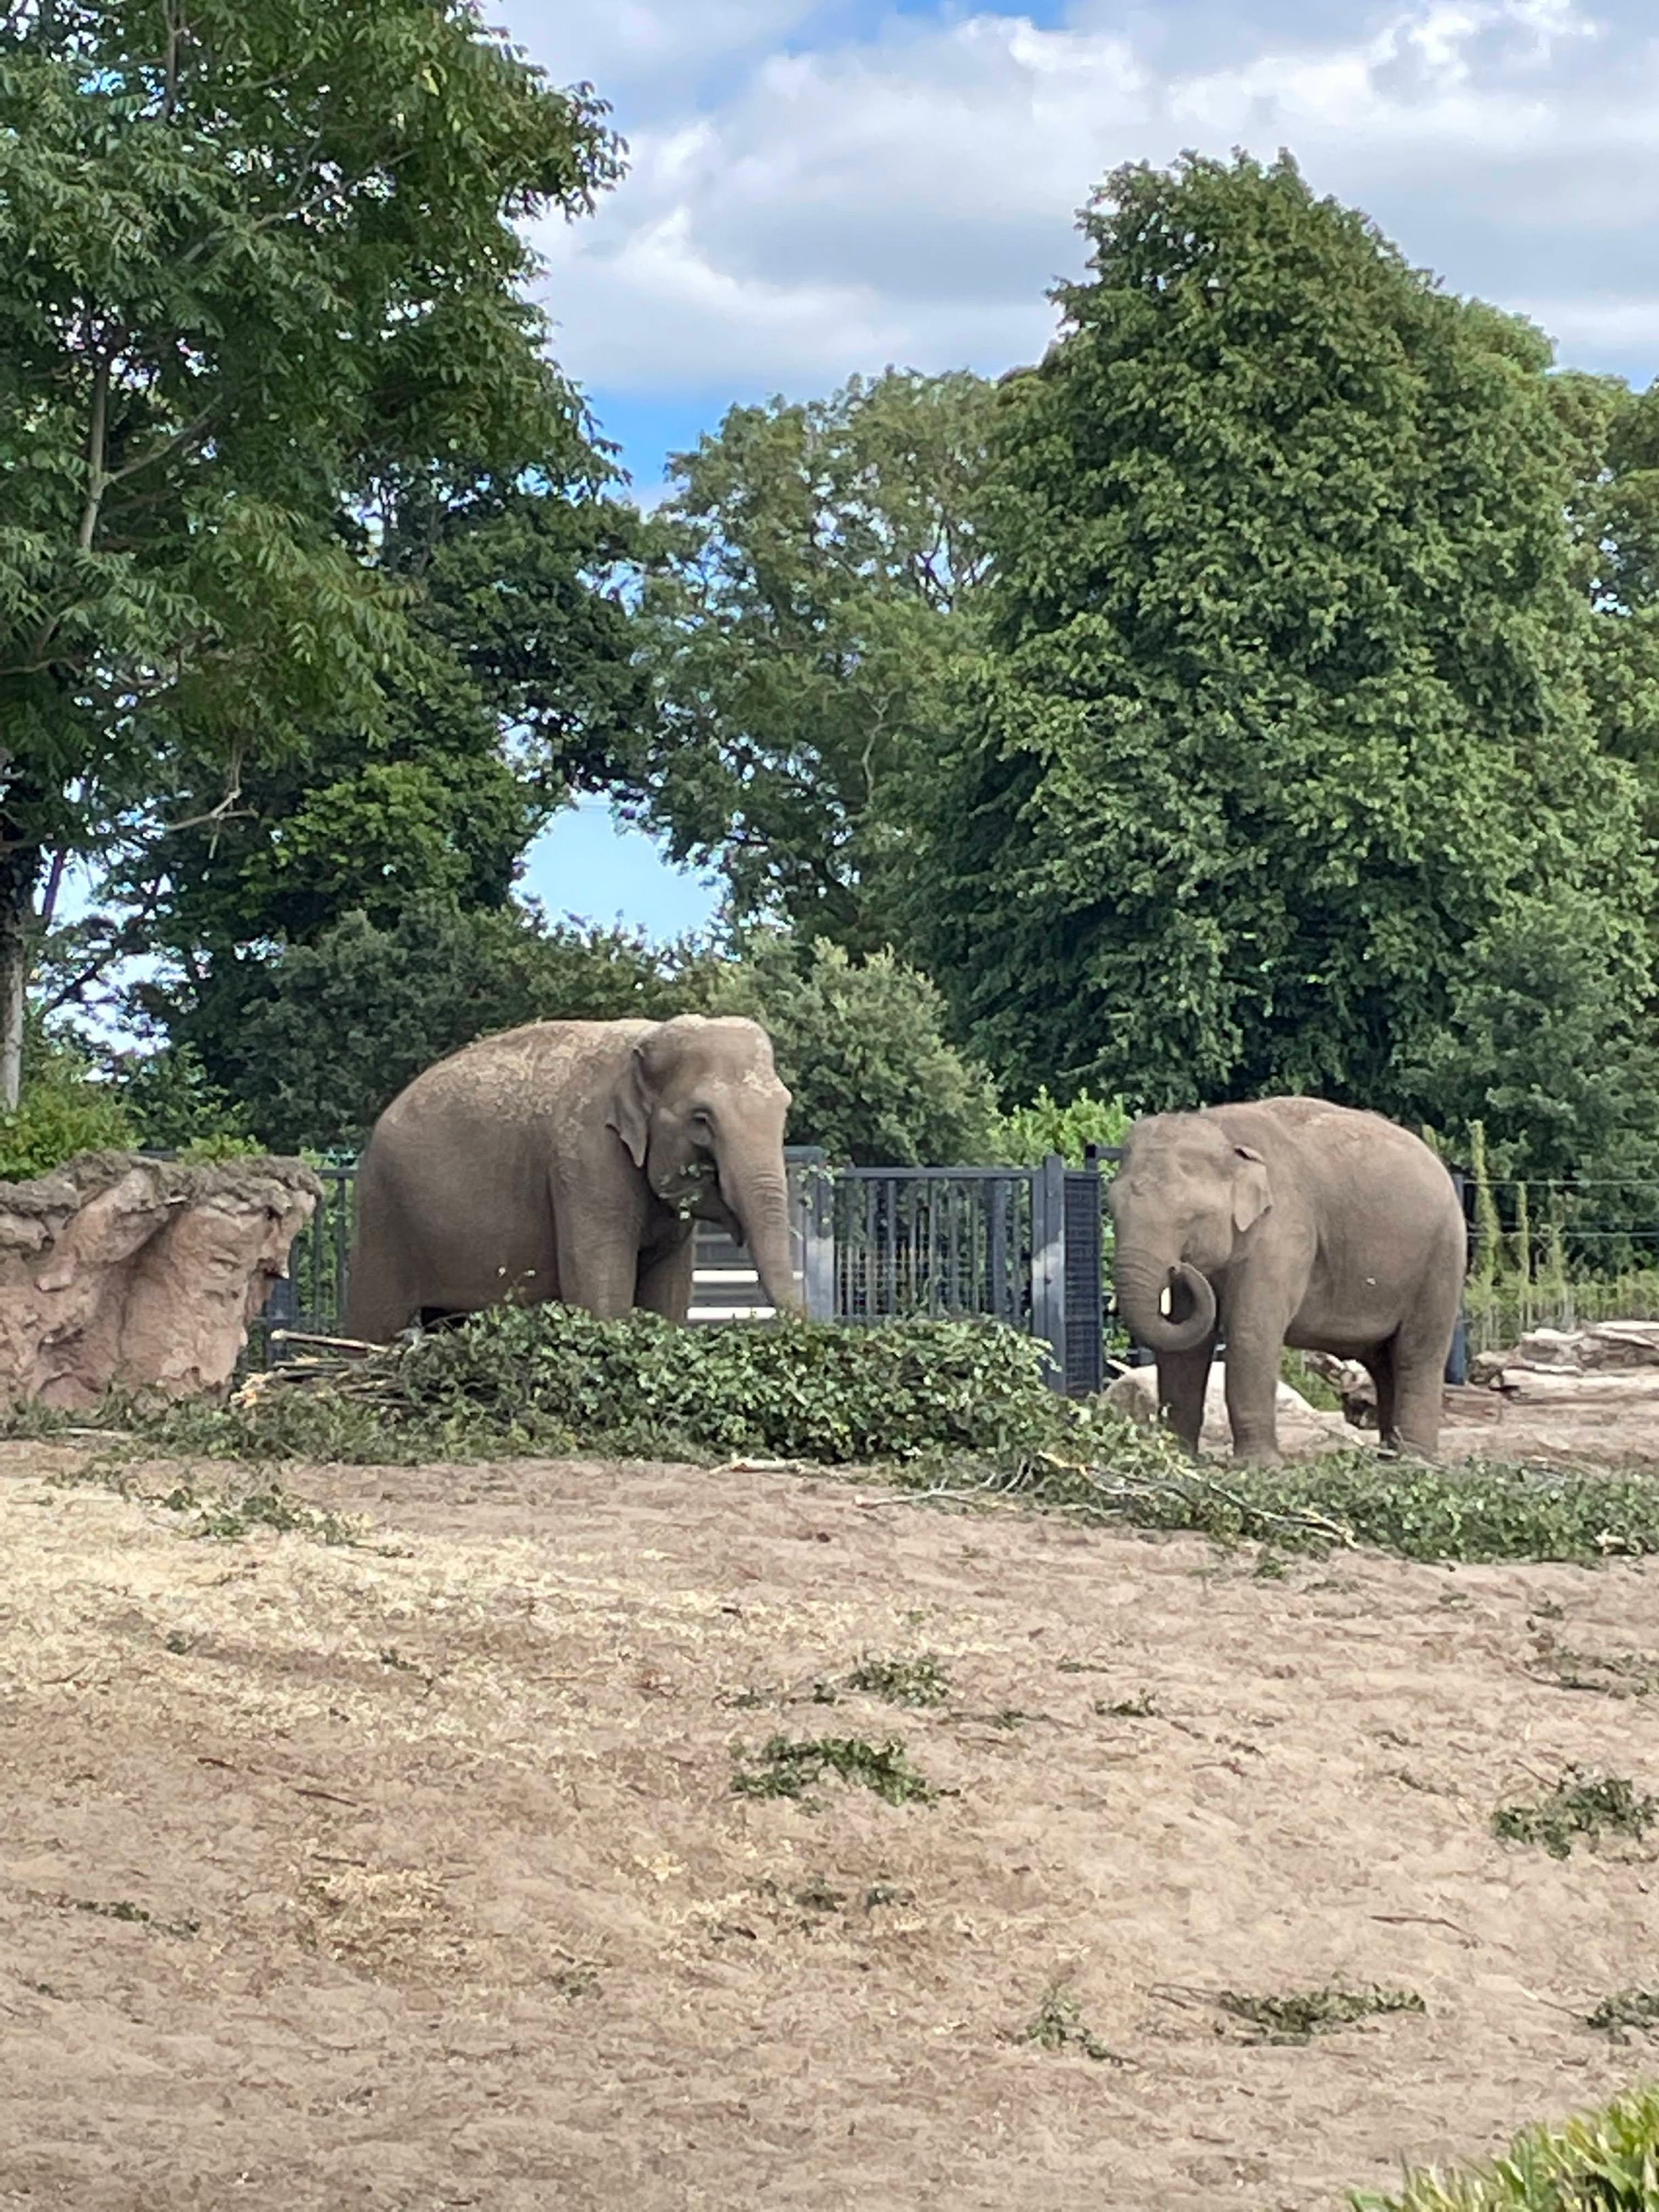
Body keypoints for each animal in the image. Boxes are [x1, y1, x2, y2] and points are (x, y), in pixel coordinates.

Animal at [340, 1012, 800, 1336]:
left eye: (785, 1108)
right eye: (701, 1120)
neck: (643, 1041)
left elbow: (666, 1300)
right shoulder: (586, 1158)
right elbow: (602, 1297)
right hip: (382, 1215)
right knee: (374, 1323)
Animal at [1119, 1097, 1469, 1460]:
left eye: (1188, 1219)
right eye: (1112, 1210)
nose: (1180, 1269)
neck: (1219, 1129)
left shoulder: (1285, 1229)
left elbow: (1252, 1331)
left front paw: (1257, 1465)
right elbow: (1186, 1347)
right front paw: (1177, 1456)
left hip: (1442, 1257)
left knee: (1417, 1354)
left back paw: (1412, 1460)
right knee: (1384, 1362)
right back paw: (1388, 1456)